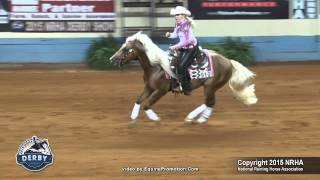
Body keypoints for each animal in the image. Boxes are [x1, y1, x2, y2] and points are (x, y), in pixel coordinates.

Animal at [110, 32, 258, 127]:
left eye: (126, 49)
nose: (112, 59)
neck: (156, 66)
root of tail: (228, 61)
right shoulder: (149, 87)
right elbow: (139, 100)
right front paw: (133, 119)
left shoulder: (161, 90)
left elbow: (147, 104)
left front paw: (156, 119)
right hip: (210, 87)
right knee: (210, 103)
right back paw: (195, 119)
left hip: (210, 86)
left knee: (209, 102)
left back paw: (195, 119)